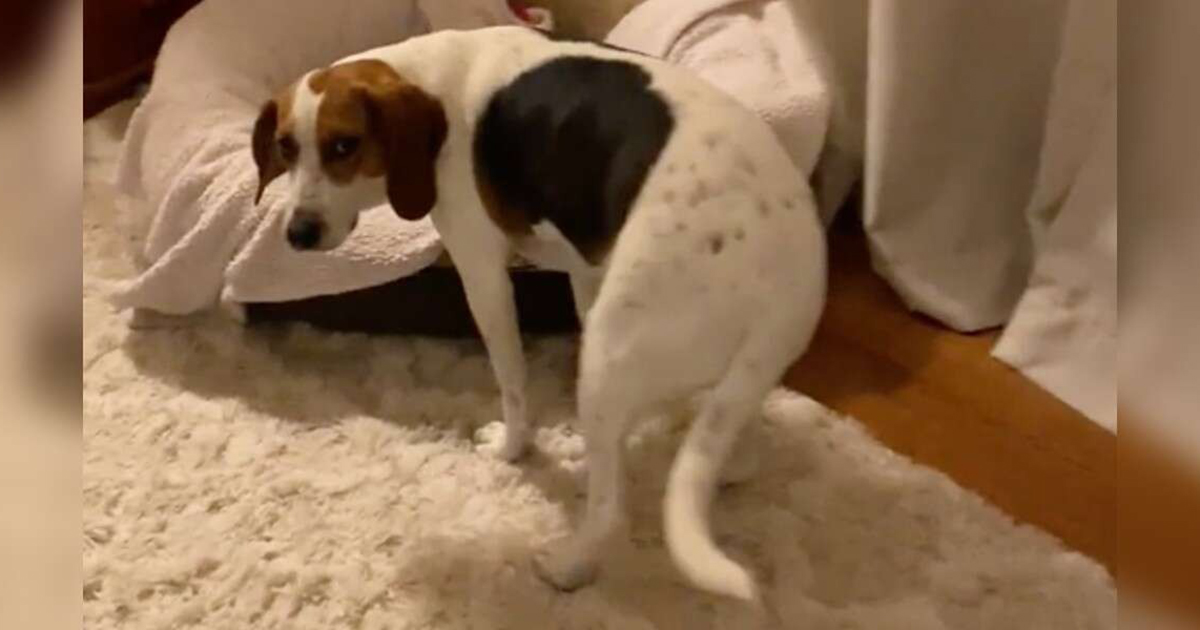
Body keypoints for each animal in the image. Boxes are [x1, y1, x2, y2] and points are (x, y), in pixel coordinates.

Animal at [251, 26, 826, 602]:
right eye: (285, 147)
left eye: (344, 146)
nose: (297, 234)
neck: (428, 80)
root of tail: (787, 285)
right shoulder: (584, 270)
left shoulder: (482, 275)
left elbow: (512, 381)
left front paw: (512, 448)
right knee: (721, 438)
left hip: (606, 357)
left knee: (609, 507)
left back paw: (568, 567)